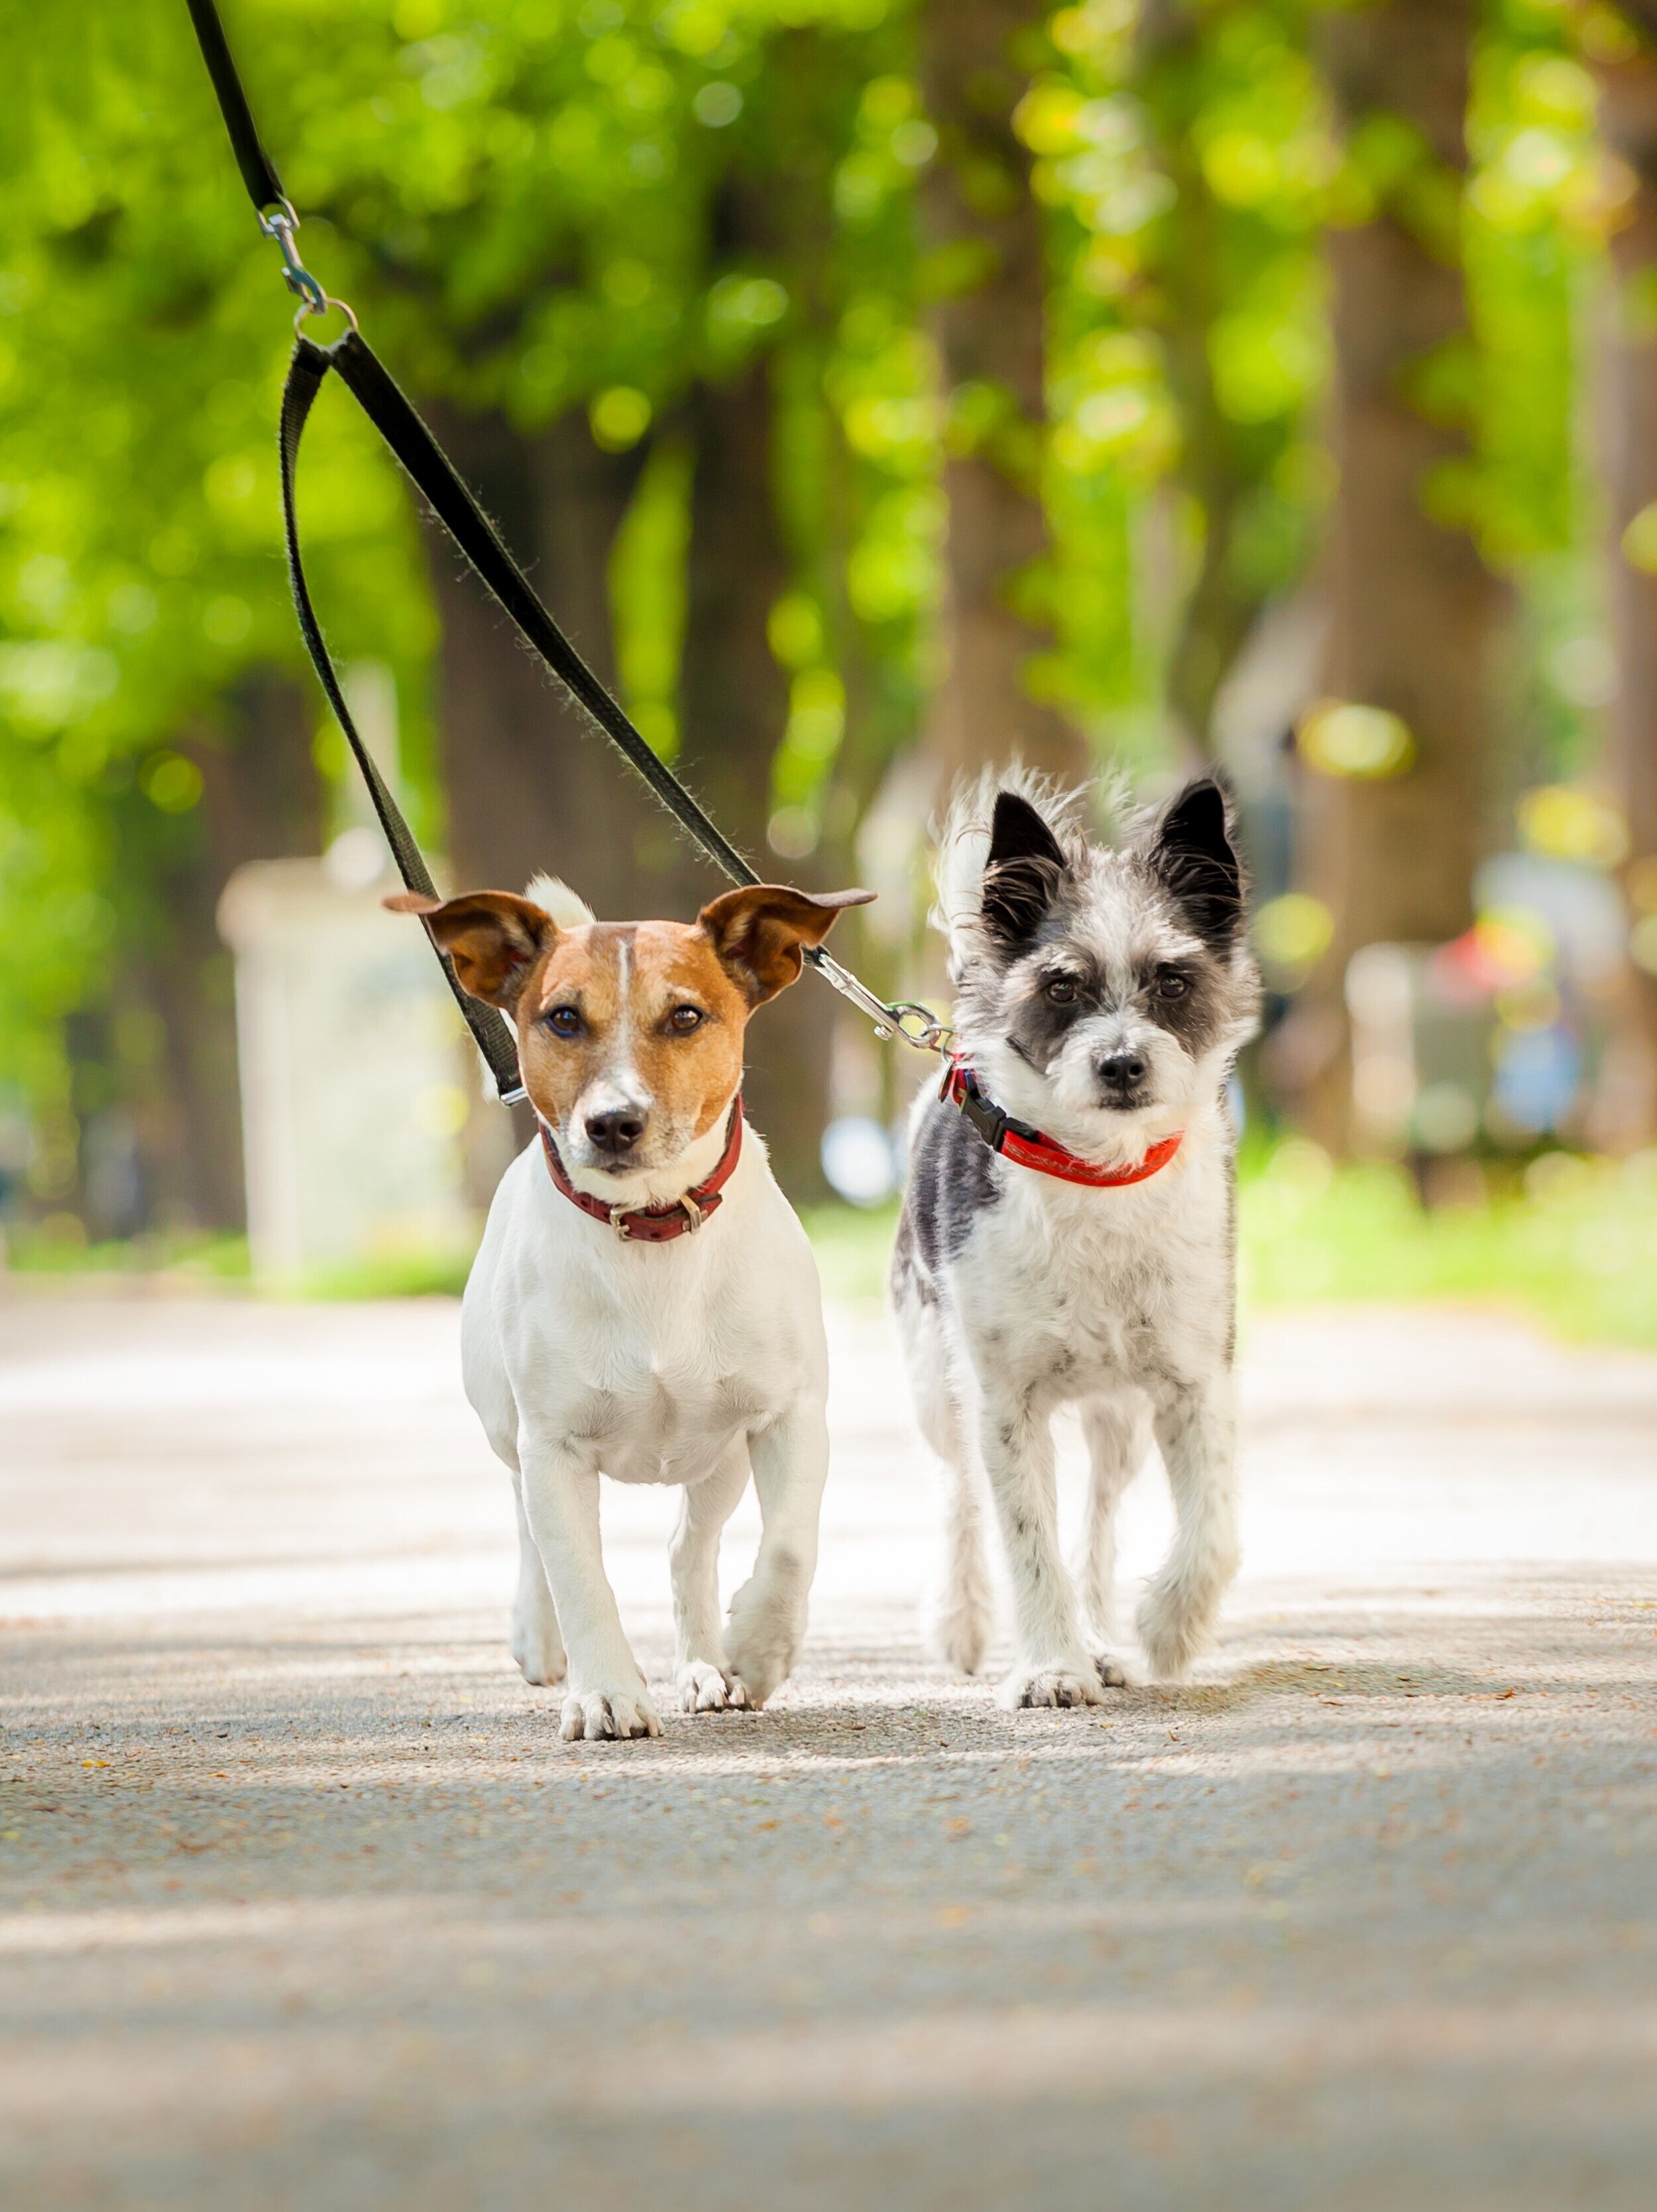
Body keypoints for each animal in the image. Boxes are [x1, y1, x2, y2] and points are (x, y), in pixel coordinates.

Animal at [389, 871, 872, 1734]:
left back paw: (705, 1665)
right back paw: (542, 1639)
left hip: (719, 1459)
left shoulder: (788, 1416)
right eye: (562, 1018)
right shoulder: (553, 1446)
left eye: (684, 1016)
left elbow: (788, 1546)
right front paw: (605, 1690)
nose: (613, 1123)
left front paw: (756, 1648)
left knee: (690, 1548)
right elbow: (580, 1575)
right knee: (529, 1533)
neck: (651, 1231)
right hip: (508, 1432)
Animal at [893, 770, 1256, 1698]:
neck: (1099, 1176)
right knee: (957, 1494)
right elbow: (1025, 1540)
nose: (1121, 1063)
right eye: (1060, 987)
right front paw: (1050, 1665)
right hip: (934, 1379)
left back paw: (1102, 1636)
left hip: (1115, 1420)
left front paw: (1166, 1627)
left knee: (1095, 1523)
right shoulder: (1003, 1403)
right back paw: (963, 1619)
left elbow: (1214, 1528)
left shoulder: (1194, 1382)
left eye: (1172, 980)